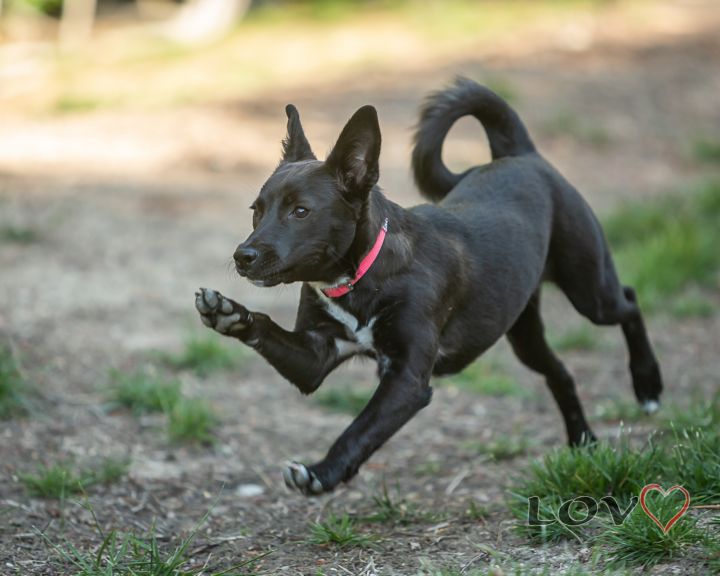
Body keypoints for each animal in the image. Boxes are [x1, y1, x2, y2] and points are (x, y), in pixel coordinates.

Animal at [195, 77, 664, 496]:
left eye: (300, 211)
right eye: (256, 210)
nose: (243, 255)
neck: (364, 276)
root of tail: (521, 155)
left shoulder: (406, 379)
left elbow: (359, 430)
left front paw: (320, 474)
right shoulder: (315, 357)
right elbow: (268, 330)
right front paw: (228, 314)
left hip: (589, 290)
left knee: (629, 302)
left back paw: (648, 386)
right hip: (522, 333)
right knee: (561, 373)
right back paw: (584, 442)